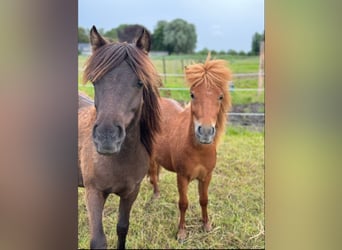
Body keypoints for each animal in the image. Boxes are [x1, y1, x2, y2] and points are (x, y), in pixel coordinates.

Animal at [79, 26, 162, 249]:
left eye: (140, 82)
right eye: (95, 81)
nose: (106, 138)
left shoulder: (131, 192)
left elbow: (122, 228)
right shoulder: (94, 192)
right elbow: (98, 241)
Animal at [148, 55, 231, 241]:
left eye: (220, 97)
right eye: (192, 94)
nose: (205, 132)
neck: (197, 150)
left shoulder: (206, 177)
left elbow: (204, 200)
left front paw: (206, 225)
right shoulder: (182, 177)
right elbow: (183, 203)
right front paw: (181, 232)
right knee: (153, 175)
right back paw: (155, 195)